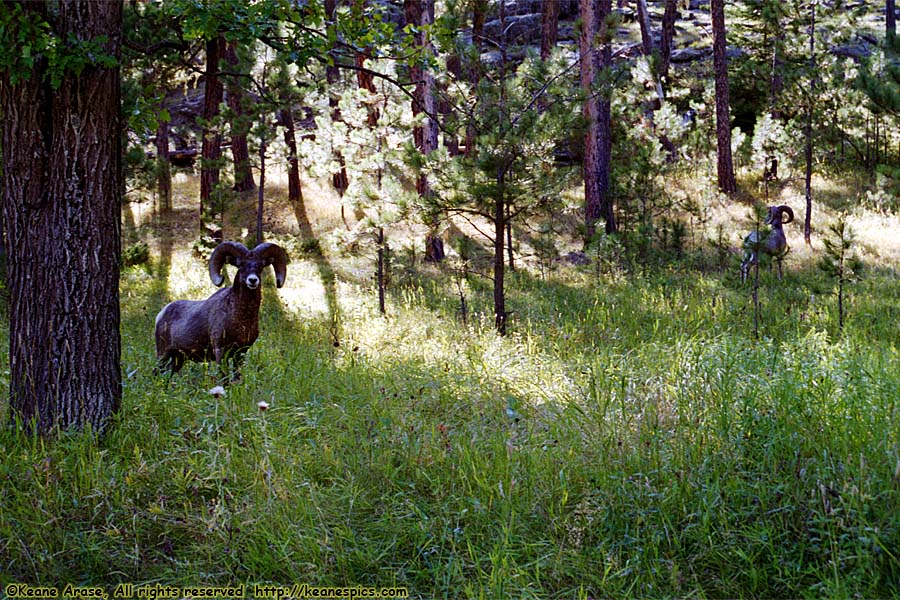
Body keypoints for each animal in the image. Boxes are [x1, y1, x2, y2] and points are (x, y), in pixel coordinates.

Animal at [155, 240, 288, 378]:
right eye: (240, 265)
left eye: (261, 266)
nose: (252, 280)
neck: (241, 318)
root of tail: (161, 314)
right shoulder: (220, 352)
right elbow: (224, 378)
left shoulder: (240, 354)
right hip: (163, 355)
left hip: (178, 359)